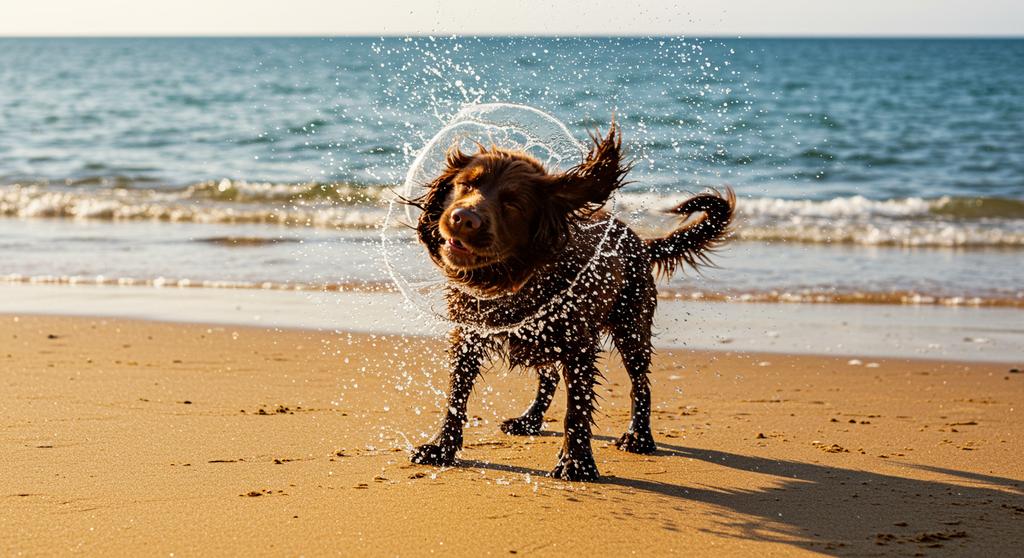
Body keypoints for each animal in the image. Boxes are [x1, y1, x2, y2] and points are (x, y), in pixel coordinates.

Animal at [407, 123, 737, 481]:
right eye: (465, 184)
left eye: (513, 203)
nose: (463, 219)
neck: (514, 280)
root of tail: (638, 240)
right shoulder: (469, 335)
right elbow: (457, 396)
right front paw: (441, 448)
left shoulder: (578, 346)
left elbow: (576, 410)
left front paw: (577, 463)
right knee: (549, 376)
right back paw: (529, 420)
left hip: (631, 326)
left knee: (640, 384)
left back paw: (639, 436)